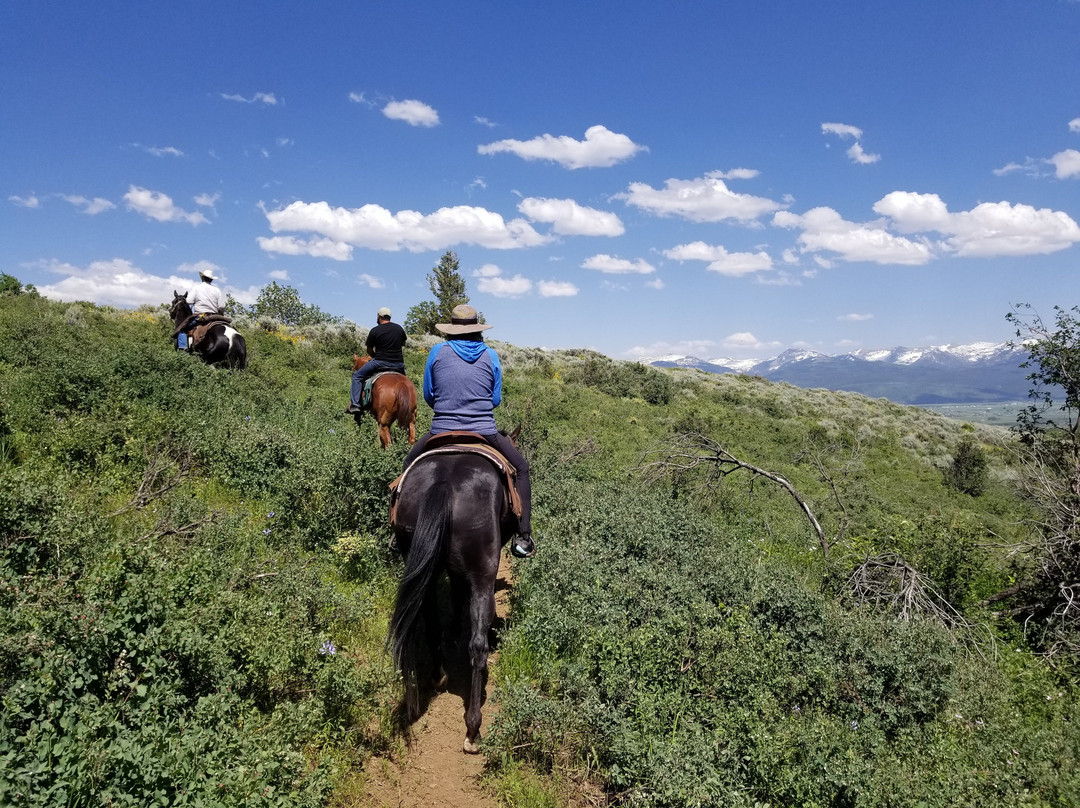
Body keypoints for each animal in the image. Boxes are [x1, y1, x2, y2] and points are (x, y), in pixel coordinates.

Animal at [393, 447, 518, 751]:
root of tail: (444, 483)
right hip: (483, 571)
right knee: (477, 646)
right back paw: (473, 728)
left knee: (430, 621)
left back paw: (438, 675)